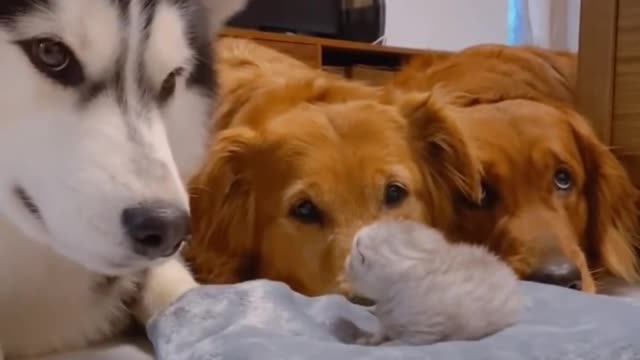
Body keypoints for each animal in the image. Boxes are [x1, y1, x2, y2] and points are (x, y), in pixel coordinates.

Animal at [348, 219, 524, 346]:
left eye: (358, 250)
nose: (346, 261)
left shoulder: (423, 331)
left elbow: (399, 343)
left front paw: (383, 344)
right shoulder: (387, 319)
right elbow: (381, 331)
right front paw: (370, 339)